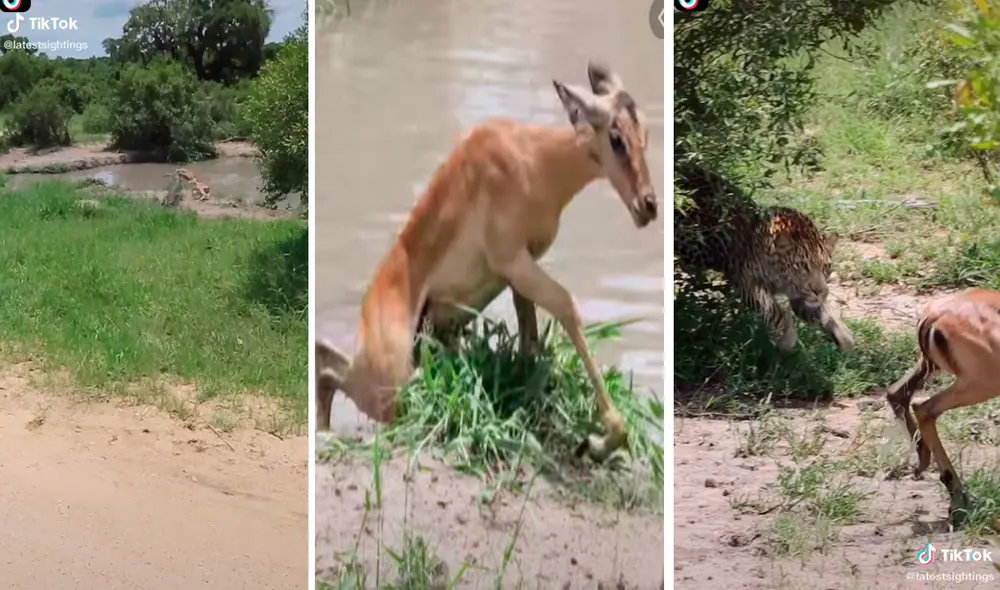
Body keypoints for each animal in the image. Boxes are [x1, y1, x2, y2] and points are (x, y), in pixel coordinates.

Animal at [316, 61, 658, 462]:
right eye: (616, 138)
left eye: (645, 132)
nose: (648, 206)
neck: (535, 160)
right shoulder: (514, 261)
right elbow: (567, 306)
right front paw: (599, 441)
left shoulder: (521, 269)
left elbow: (531, 341)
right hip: (390, 382)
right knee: (329, 366)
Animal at [674, 162, 854, 356]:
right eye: (801, 266)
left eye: (825, 267)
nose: (819, 291)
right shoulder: (746, 281)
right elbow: (773, 311)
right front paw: (787, 339)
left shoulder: (801, 295)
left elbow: (821, 310)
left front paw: (843, 334)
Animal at [883, 287, 1000, 523]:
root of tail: (935, 315)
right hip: (981, 384)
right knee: (923, 408)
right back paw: (957, 501)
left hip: (932, 368)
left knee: (898, 394)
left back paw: (922, 464)